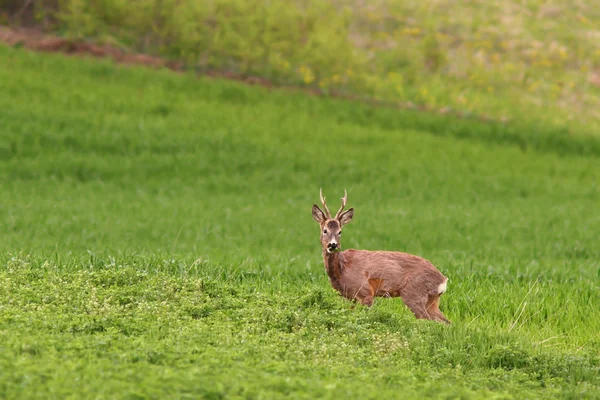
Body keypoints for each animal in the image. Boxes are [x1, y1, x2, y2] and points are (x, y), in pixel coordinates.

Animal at [314, 189, 450, 324]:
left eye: (340, 232)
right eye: (325, 230)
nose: (333, 245)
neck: (342, 269)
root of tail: (443, 280)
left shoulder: (366, 291)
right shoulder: (346, 296)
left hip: (414, 294)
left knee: (428, 321)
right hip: (432, 300)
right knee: (446, 322)